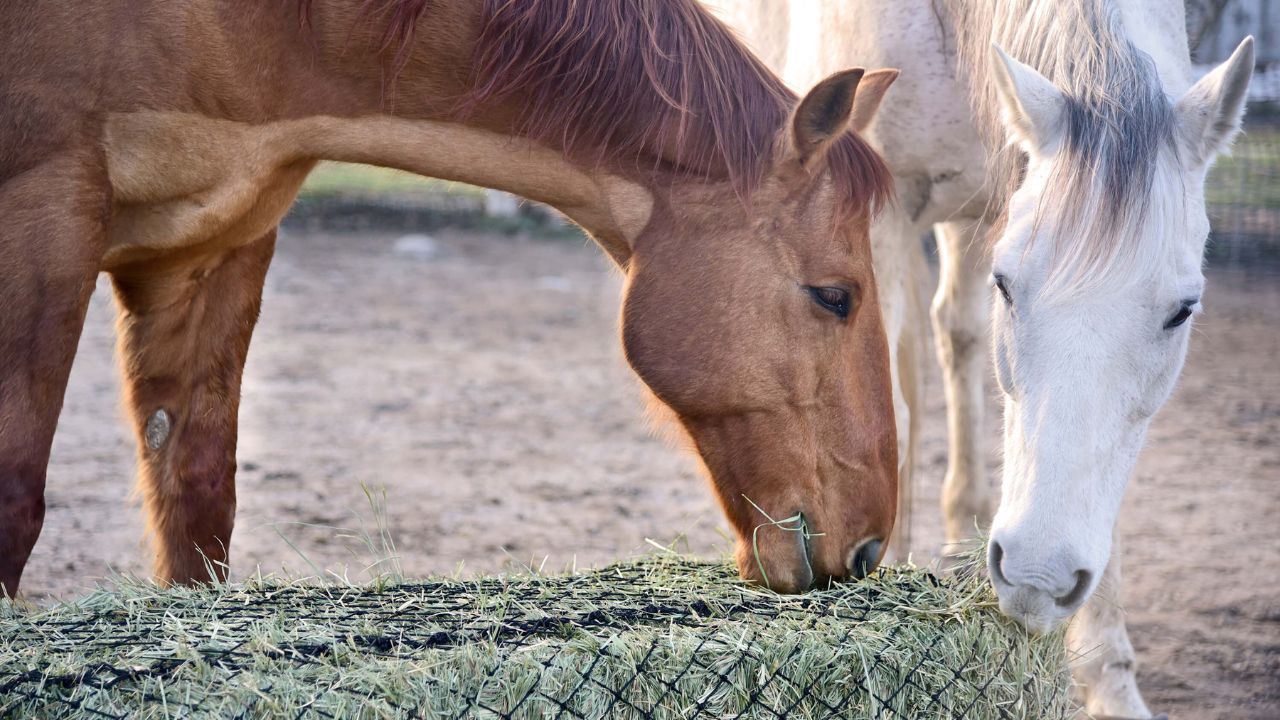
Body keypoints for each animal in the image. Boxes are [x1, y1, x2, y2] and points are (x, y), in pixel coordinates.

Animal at [0, 0, 901, 594]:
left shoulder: (214, 248)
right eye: (835, 296)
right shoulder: (40, 214)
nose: (867, 550)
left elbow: (194, 504)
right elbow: (17, 501)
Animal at [701, 0, 1249, 712]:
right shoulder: (871, 215)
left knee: (954, 336)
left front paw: (1110, 683)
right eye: (1007, 286)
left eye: (1183, 310)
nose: (1037, 575)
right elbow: (889, 412)